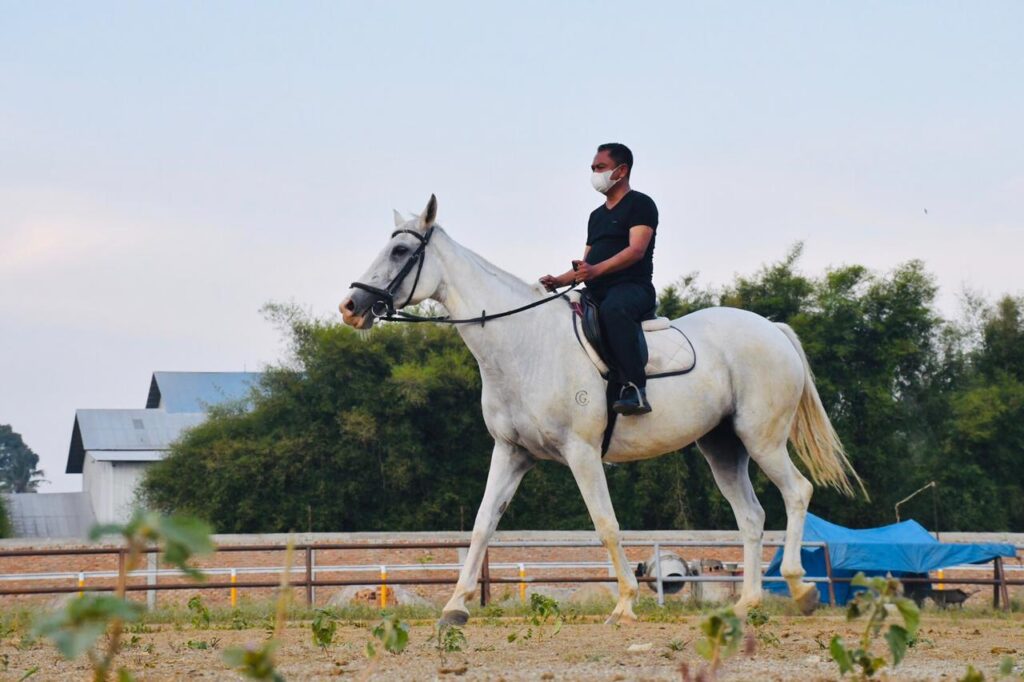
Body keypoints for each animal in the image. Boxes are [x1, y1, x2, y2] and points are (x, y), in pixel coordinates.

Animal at [339, 195, 860, 622]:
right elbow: (484, 524)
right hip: (723, 447)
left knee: (797, 492)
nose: (351, 306)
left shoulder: (582, 453)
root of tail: (772, 329)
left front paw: (625, 603)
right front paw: (455, 605)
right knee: (751, 517)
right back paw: (746, 603)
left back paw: (800, 590)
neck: (525, 344)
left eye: (401, 253)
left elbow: (606, 524)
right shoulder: (511, 452)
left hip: (762, 437)